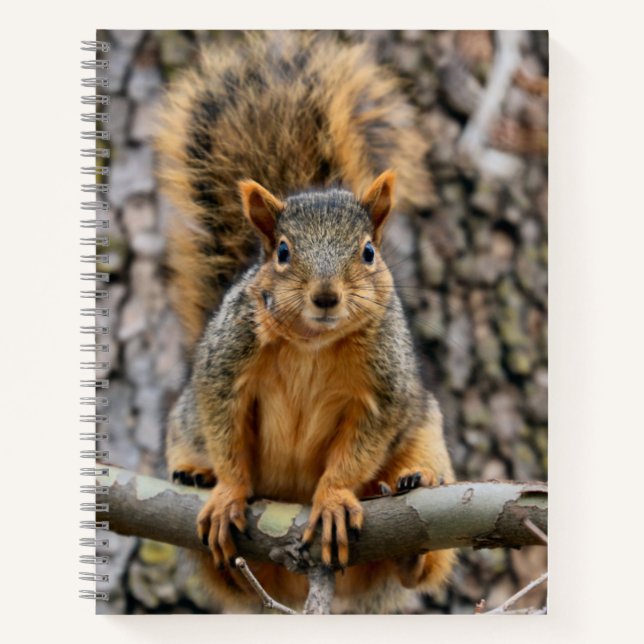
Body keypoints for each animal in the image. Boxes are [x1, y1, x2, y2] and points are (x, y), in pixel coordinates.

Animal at [155, 31, 456, 614]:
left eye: (368, 252)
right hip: (184, 432)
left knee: (420, 562)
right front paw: (227, 491)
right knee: (226, 574)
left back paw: (411, 500)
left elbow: (359, 448)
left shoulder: (383, 390)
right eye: (282, 252)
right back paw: (196, 477)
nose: (325, 296)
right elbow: (225, 430)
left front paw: (335, 498)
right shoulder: (226, 365)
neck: (313, 343)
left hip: (427, 436)